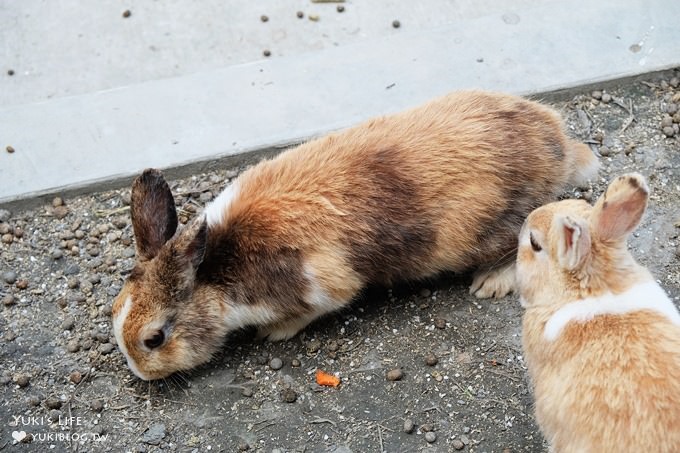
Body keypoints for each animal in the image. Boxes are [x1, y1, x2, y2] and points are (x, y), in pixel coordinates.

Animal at [111, 90, 596, 380]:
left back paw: (489, 283)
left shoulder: (324, 283)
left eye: (154, 338)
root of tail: (560, 146)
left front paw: (274, 333)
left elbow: (317, 305)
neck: (217, 270)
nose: (138, 373)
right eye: (116, 310)